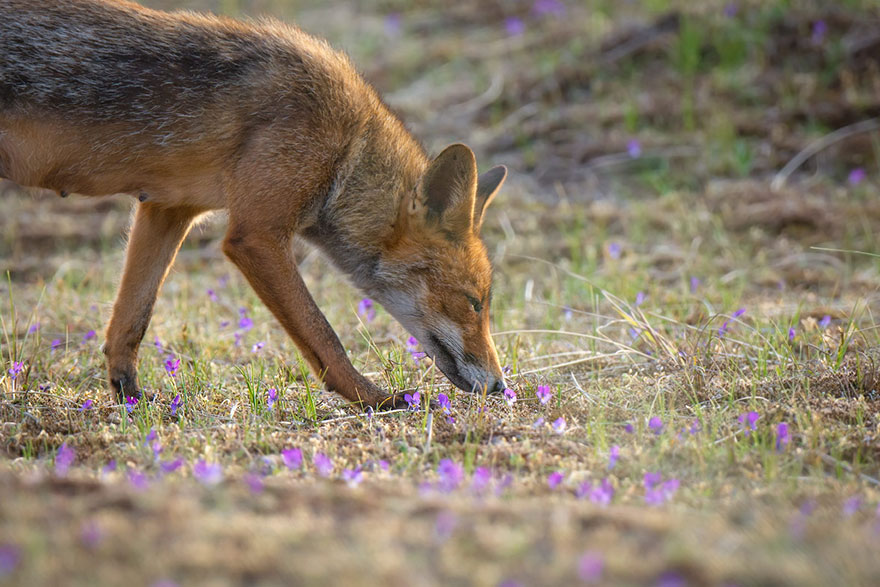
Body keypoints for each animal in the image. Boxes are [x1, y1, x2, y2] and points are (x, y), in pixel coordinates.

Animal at [0, 0, 508, 409]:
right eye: (474, 303)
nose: (501, 386)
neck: (347, 145)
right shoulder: (256, 236)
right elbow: (326, 338)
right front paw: (376, 400)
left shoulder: (167, 209)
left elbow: (130, 322)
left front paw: (133, 400)